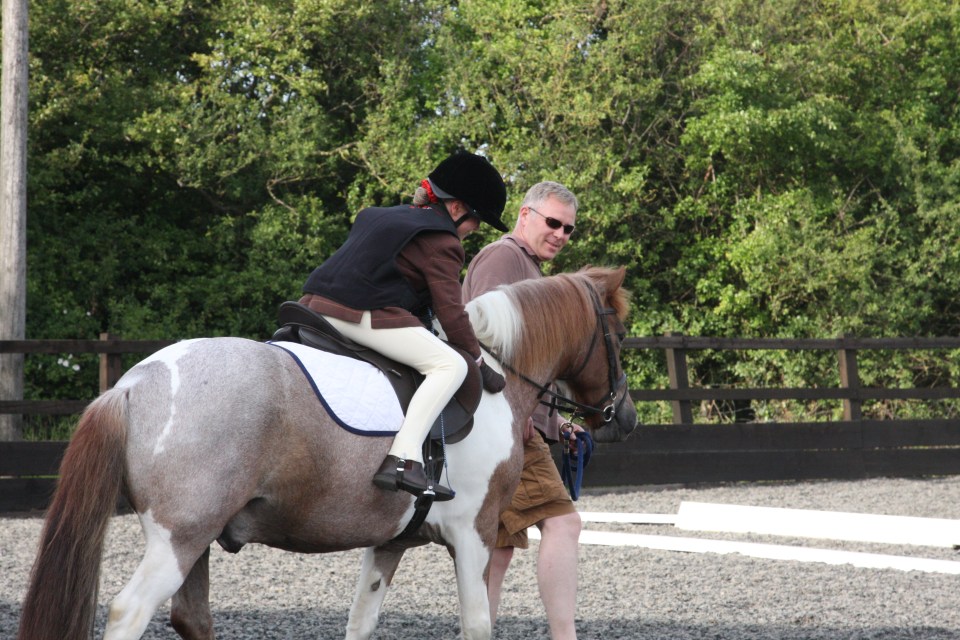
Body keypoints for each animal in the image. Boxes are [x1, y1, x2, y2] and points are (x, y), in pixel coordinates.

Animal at [18, 266, 637, 640]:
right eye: (620, 334)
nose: (625, 417)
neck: (495, 378)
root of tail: (132, 384)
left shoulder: (391, 542)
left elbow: (361, 623)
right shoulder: (474, 535)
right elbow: (477, 625)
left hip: (193, 543)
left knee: (191, 618)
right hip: (179, 538)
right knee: (130, 613)